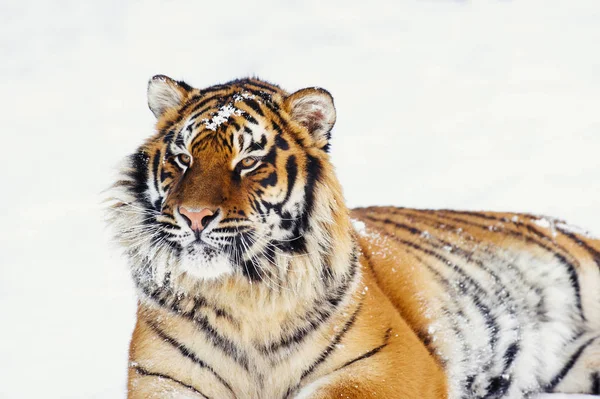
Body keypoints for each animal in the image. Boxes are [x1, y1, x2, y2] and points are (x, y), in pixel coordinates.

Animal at [108, 76, 600, 399]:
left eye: (248, 161)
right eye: (183, 158)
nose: (194, 216)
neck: (245, 294)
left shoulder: (388, 363)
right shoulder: (161, 377)